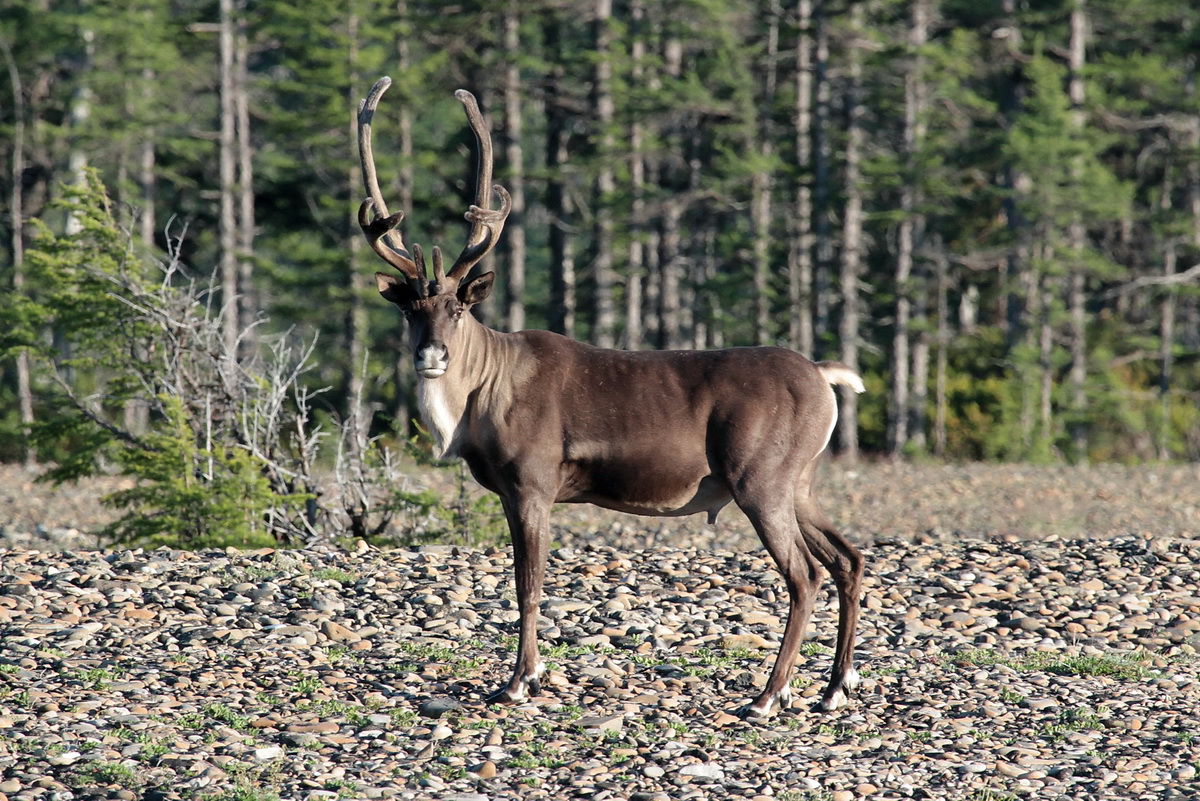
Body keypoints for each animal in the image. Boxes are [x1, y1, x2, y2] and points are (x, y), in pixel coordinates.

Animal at [356, 77, 866, 718]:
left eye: (457, 307)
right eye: (410, 309)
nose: (432, 355)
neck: (478, 401)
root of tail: (825, 376)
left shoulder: (533, 482)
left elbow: (528, 585)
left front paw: (521, 681)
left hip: (760, 477)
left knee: (804, 575)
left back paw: (768, 696)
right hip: (800, 480)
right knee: (847, 559)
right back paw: (833, 687)